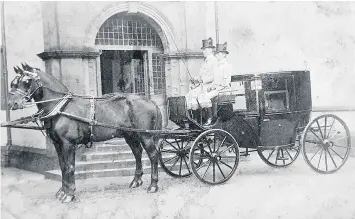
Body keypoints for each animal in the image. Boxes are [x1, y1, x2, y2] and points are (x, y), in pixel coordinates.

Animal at [7, 63, 163, 204]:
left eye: (27, 81)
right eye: (13, 83)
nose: (11, 104)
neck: (61, 107)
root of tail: (150, 101)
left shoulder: (68, 144)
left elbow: (70, 167)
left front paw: (69, 194)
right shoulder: (58, 144)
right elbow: (63, 166)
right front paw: (62, 191)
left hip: (146, 136)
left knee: (153, 155)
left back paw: (153, 185)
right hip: (130, 135)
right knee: (137, 153)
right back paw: (136, 180)